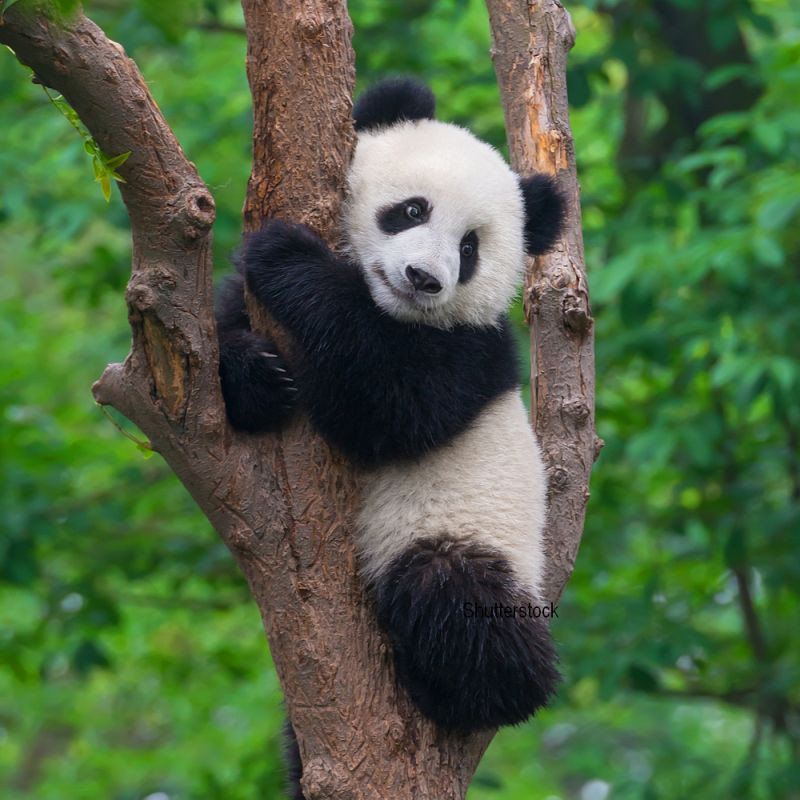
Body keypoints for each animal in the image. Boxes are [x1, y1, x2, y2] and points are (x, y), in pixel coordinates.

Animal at [216, 77, 564, 739]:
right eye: (412, 210)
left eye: (470, 248)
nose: (424, 278)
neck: (392, 309)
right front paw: (257, 376)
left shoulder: (473, 352)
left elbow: (390, 407)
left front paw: (287, 257)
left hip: (466, 533)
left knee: (455, 598)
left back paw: (472, 692)